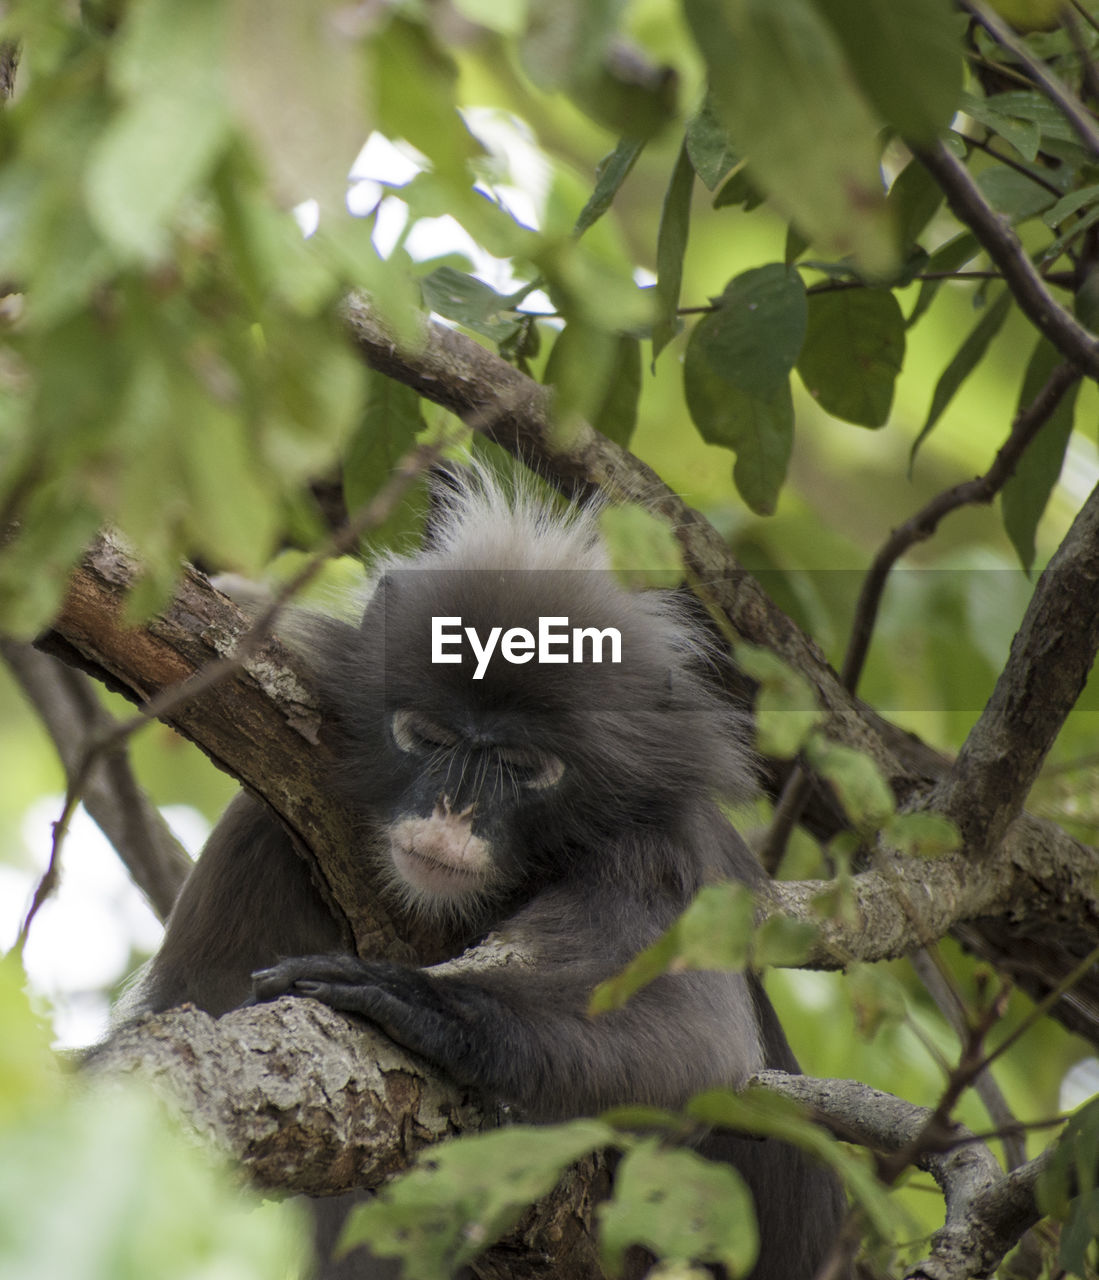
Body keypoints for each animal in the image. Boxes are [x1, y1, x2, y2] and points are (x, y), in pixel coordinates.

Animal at [131, 473, 849, 1280]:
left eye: (519, 766)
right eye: (430, 737)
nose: (454, 810)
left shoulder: (657, 853)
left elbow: (693, 1037)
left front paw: (414, 999)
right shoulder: (262, 831)